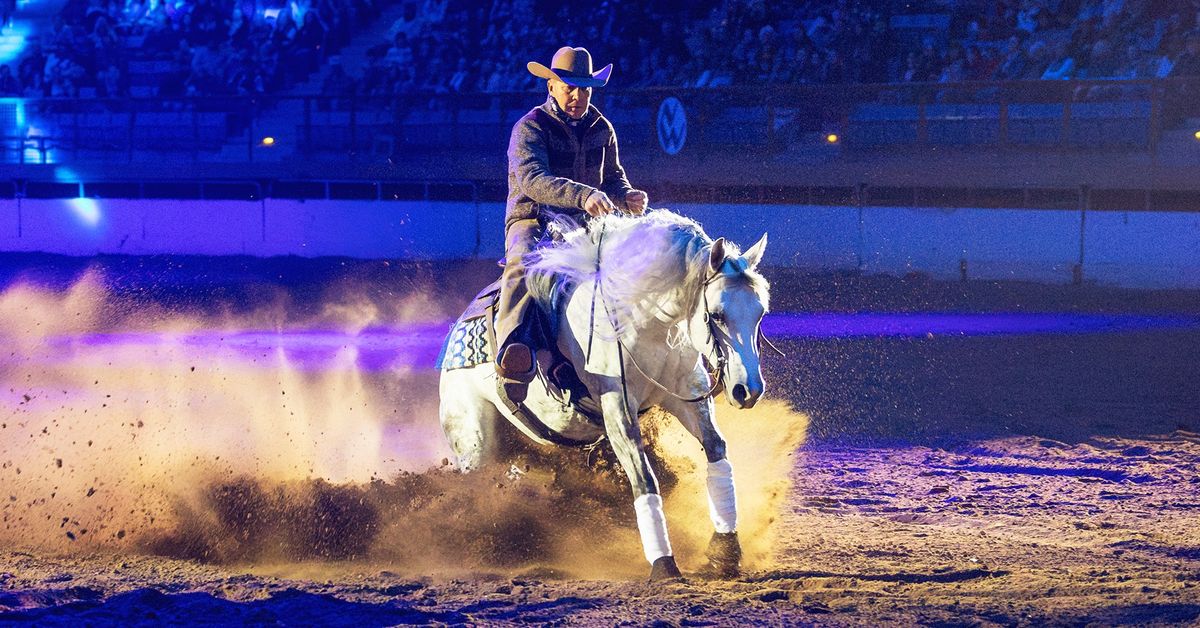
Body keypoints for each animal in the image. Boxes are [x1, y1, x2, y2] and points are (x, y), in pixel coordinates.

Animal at [439, 210, 768, 581]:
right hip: (475, 441)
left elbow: (716, 450)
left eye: (760, 313)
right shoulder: (617, 409)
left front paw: (724, 551)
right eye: (717, 315)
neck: (644, 319)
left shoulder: (689, 396)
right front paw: (664, 565)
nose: (748, 390)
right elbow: (644, 478)